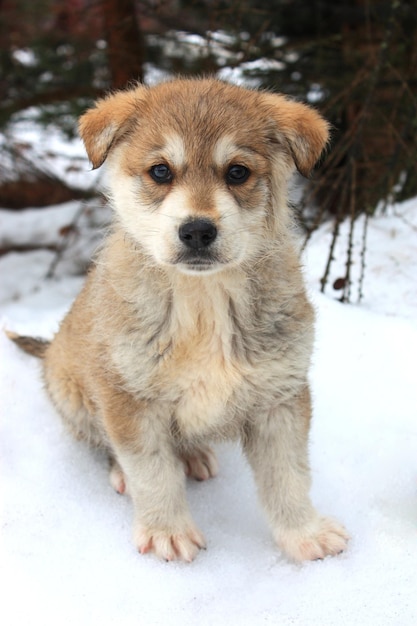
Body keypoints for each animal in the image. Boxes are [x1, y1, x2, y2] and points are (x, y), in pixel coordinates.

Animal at [8, 78, 348, 560]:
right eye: (160, 172)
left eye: (237, 172)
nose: (198, 231)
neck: (202, 300)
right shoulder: (127, 397)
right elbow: (152, 472)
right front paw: (167, 531)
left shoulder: (279, 397)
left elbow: (289, 477)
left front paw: (305, 534)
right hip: (74, 393)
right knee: (106, 444)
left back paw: (194, 455)